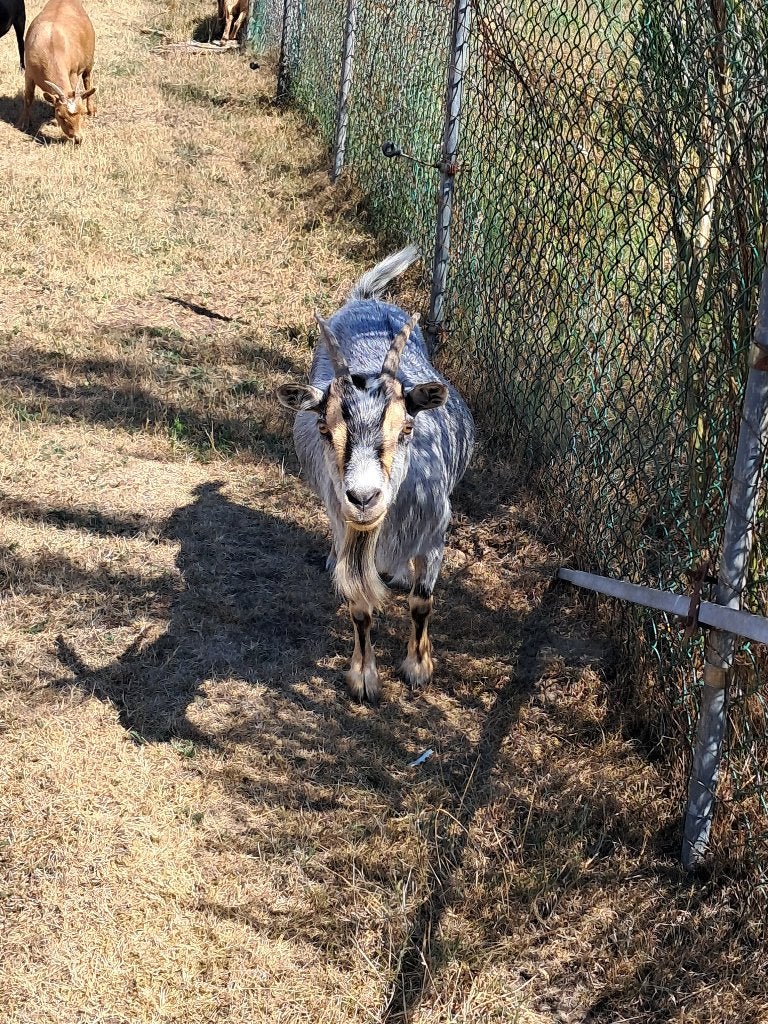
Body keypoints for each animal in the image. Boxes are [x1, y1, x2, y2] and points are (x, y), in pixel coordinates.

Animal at [18, 0, 95, 144]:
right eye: (60, 115)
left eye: (82, 112)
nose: (78, 139)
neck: (50, 47)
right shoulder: (29, 73)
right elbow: (28, 97)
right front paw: (23, 123)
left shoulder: (73, 72)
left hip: (89, 60)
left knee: (87, 79)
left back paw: (92, 110)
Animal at [277, 247, 475, 702]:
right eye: (323, 428)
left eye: (407, 428)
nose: (364, 498)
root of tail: (365, 300)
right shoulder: (350, 534)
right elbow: (360, 609)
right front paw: (364, 679)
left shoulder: (435, 536)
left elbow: (422, 602)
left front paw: (419, 668)